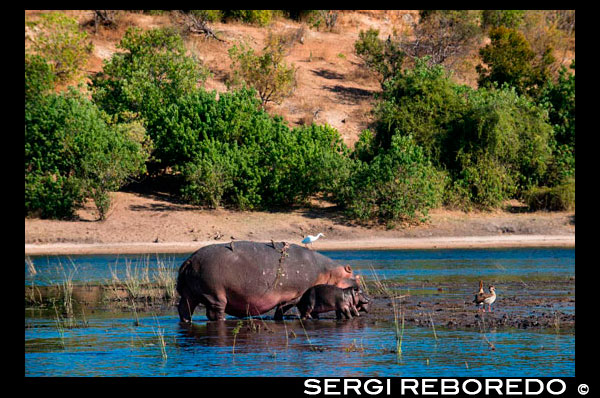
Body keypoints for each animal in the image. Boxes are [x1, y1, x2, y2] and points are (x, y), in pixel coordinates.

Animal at [177, 241, 356, 322]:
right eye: (354, 275)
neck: (328, 271)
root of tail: (190, 260)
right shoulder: (297, 295)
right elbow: (288, 307)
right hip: (215, 296)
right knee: (214, 313)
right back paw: (223, 320)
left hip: (189, 293)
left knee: (184, 308)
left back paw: (186, 321)